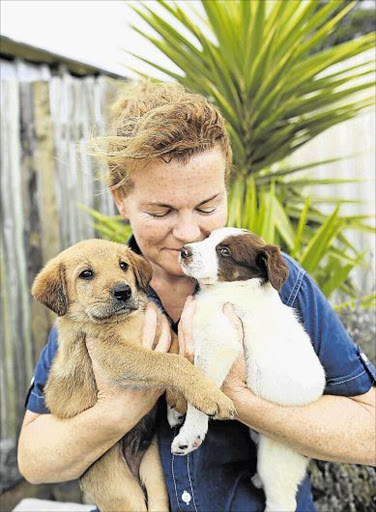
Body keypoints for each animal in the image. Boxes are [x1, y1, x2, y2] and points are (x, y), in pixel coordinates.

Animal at [31, 240, 235, 512]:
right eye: (86, 274)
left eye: (123, 265)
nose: (123, 291)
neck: (123, 321)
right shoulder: (116, 355)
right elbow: (170, 362)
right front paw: (211, 396)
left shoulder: (160, 328)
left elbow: (176, 348)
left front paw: (178, 402)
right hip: (120, 490)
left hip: (154, 475)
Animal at [170, 228, 326, 512]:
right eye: (207, 237)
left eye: (225, 251)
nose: (184, 251)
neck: (227, 291)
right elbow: (182, 366)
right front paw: (175, 408)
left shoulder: (219, 341)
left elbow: (201, 389)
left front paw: (190, 433)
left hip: (276, 457)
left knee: (282, 501)